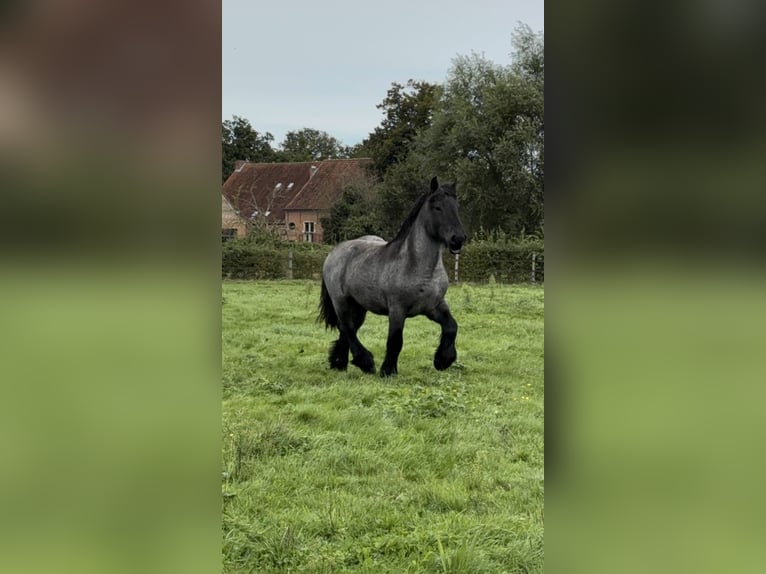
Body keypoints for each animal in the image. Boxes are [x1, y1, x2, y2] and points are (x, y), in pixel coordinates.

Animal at [320, 178, 468, 380]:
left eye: (456, 207)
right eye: (437, 207)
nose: (458, 239)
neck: (417, 266)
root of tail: (334, 252)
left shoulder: (434, 306)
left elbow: (452, 326)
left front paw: (443, 360)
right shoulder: (397, 309)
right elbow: (395, 340)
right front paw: (388, 370)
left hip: (359, 306)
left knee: (348, 329)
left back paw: (340, 363)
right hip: (341, 302)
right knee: (347, 328)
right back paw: (365, 363)